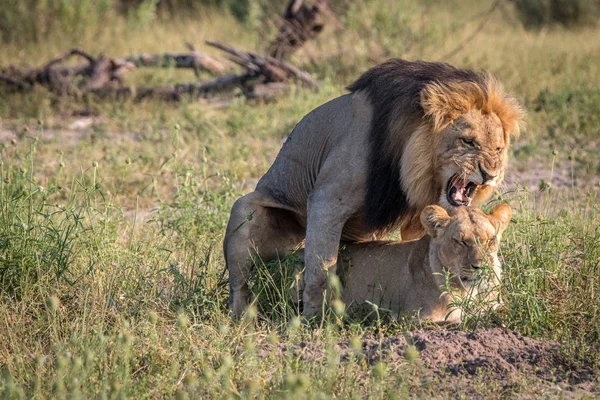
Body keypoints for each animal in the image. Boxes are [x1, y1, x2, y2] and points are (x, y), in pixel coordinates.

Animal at [296, 205, 510, 324]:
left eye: (491, 241)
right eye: (462, 242)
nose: (480, 267)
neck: (470, 291)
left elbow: (503, 310)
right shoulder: (412, 317)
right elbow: (455, 321)